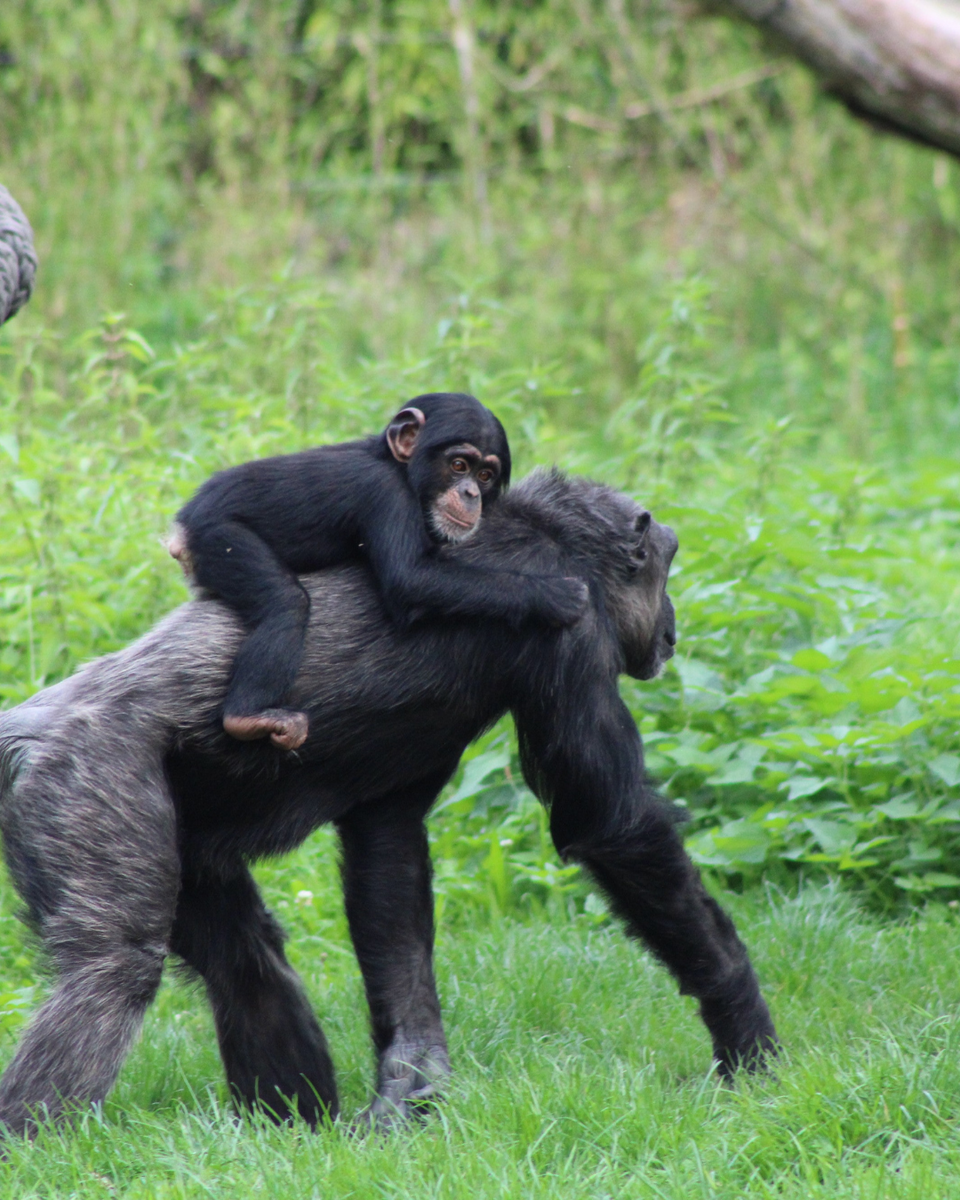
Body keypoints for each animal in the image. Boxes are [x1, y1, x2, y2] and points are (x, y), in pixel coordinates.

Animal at [0, 468, 777, 1132]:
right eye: (666, 566)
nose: (672, 621)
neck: (551, 540)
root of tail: (23, 730)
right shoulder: (576, 635)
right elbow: (611, 823)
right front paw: (743, 1027)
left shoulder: (393, 804)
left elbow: (390, 859)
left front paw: (413, 1080)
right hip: (88, 781)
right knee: (114, 967)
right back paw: (41, 1142)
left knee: (245, 962)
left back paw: (290, 1129)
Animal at [171, 393, 588, 748]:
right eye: (459, 465)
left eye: (485, 476)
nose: (471, 493)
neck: (400, 469)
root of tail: (180, 530)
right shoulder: (384, 494)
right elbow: (411, 579)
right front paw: (554, 595)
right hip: (220, 538)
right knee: (285, 602)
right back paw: (247, 717)